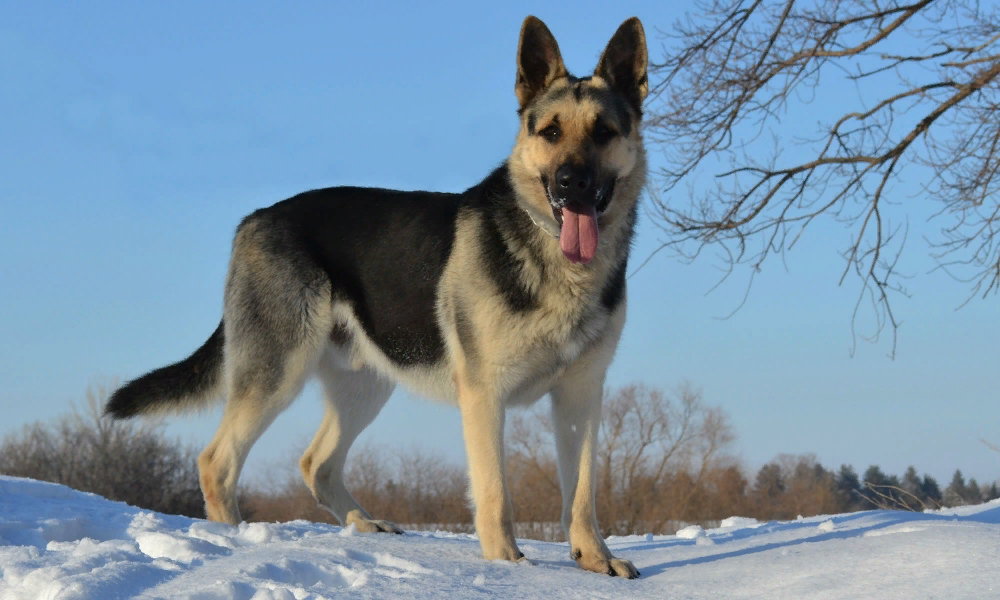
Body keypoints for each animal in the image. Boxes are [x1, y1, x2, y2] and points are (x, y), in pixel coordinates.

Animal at [103, 14, 648, 576]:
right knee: (218, 461)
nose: (571, 182)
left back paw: (362, 525)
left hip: (364, 385)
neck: (557, 264)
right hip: (278, 372)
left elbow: (582, 493)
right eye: (551, 132)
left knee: (316, 464)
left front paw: (594, 559)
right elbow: (496, 492)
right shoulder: (484, 394)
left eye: (604, 132)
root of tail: (254, 219)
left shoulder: (581, 397)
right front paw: (506, 566)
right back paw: (233, 542)